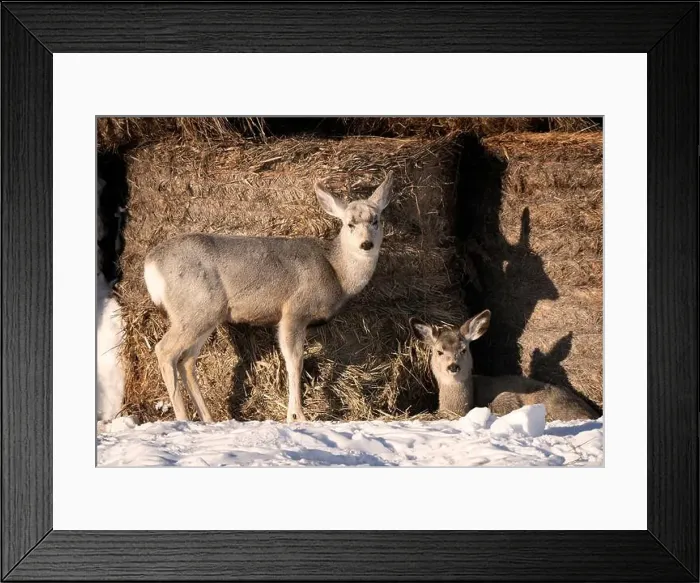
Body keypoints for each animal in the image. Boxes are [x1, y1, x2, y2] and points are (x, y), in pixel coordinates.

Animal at [144, 172, 394, 423]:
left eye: (376, 220)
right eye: (349, 223)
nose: (366, 244)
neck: (336, 272)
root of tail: (151, 264)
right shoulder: (294, 311)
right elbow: (294, 362)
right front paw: (297, 416)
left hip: (204, 315)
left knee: (186, 361)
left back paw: (208, 419)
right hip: (195, 308)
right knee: (165, 351)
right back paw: (183, 418)